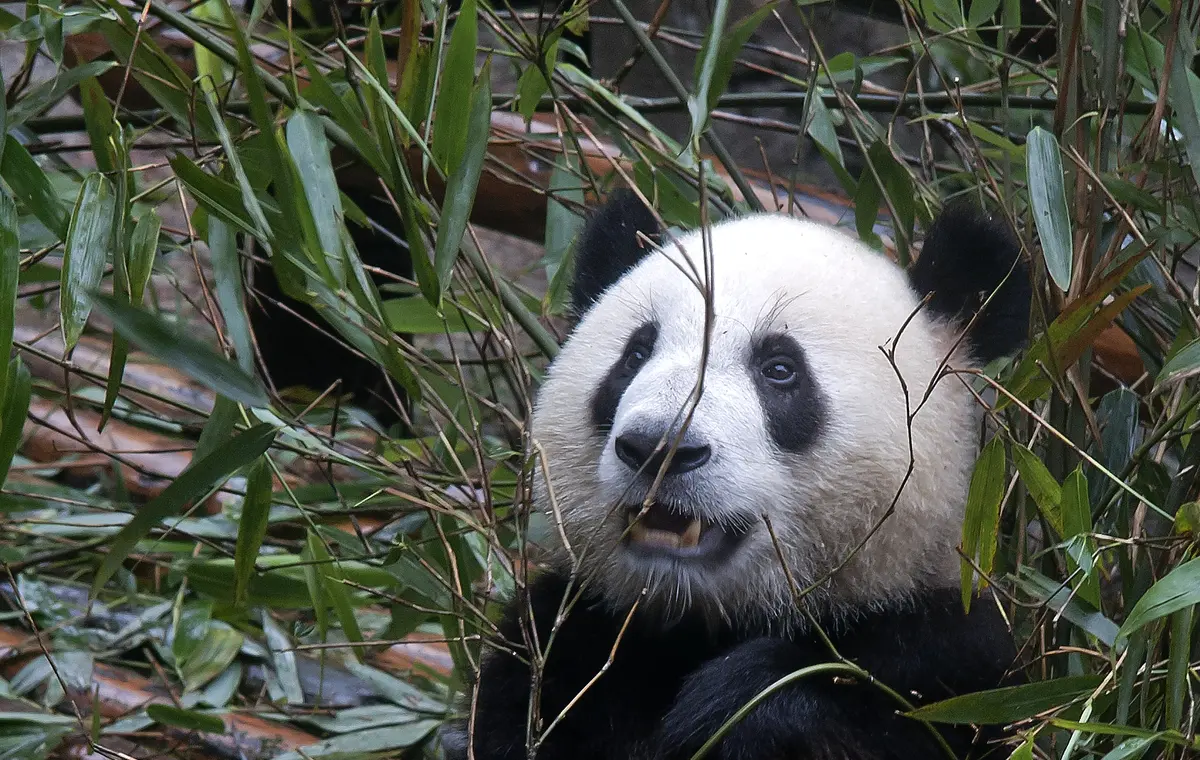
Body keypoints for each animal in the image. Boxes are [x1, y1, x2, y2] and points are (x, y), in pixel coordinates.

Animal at [445, 189, 1031, 760]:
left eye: (780, 369)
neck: (702, 622)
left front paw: (740, 708)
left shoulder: (952, 676)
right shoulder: (562, 652)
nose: (659, 448)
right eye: (635, 354)